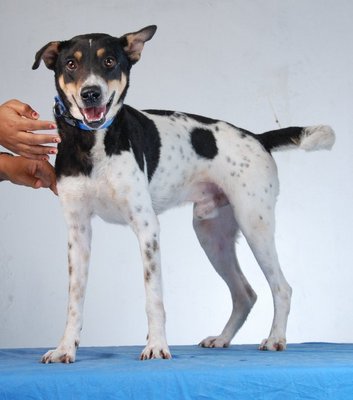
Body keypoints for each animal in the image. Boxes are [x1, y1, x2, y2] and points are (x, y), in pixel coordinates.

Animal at [31, 25, 334, 362]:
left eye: (109, 61)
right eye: (71, 63)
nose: (91, 93)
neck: (92, 142)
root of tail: (257, 137)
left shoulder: (147, 227)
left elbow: (154, 297)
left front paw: (156, 345)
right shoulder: (78, 230)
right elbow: (75, 300)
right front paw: (65, 348)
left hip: (255, 224)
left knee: (281, 287)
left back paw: (276, 338)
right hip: (211, 234)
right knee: (245, 293)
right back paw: (222, 339)